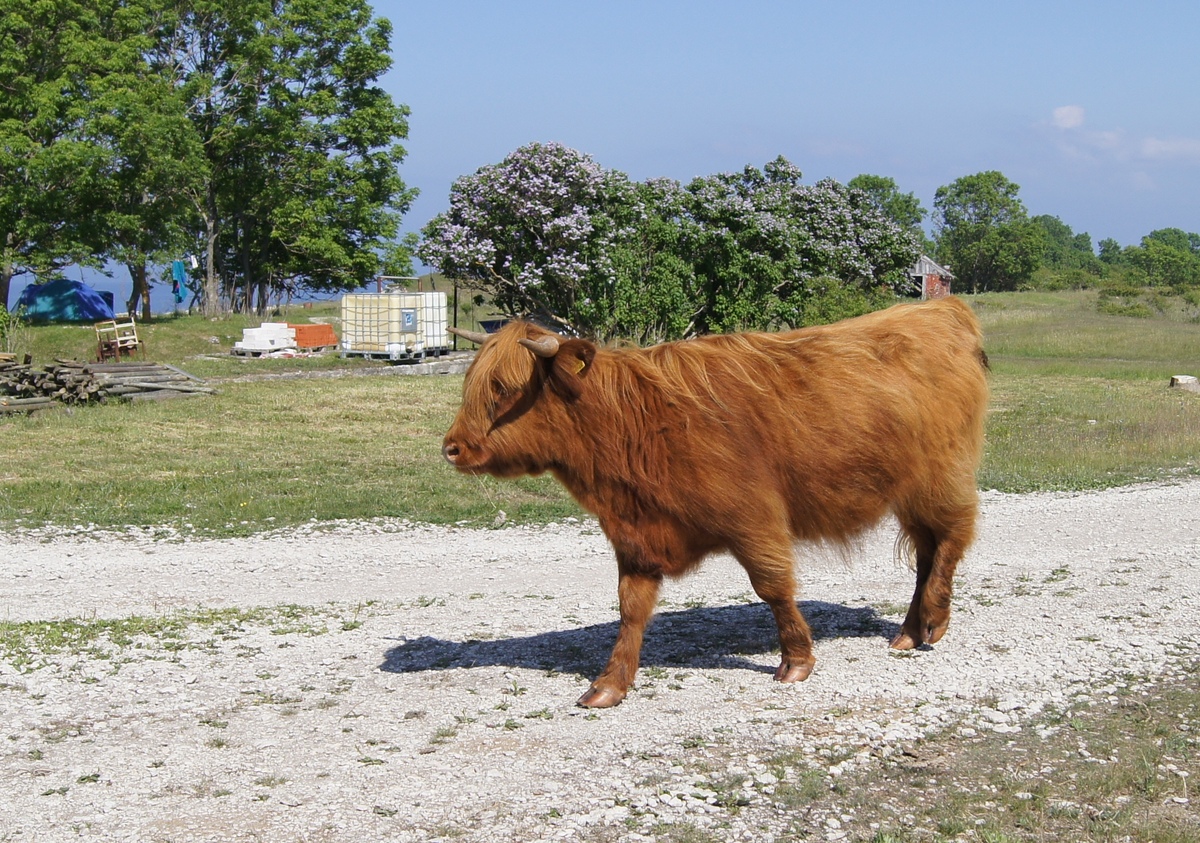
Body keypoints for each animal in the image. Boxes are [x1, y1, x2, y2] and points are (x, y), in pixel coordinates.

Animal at [442, 297, 989, 708]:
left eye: (503, 389)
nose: (451, 447)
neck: (633, 425)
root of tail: (939, 309)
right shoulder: (635, 537)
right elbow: (631, 608)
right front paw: (610, 683)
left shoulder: (755, 519)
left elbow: (773, 586)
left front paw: (796, 660)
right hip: (910, 493)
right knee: (927, 551)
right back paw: (911, 629)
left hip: (939, 480)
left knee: (951, 540)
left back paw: (935, 621)